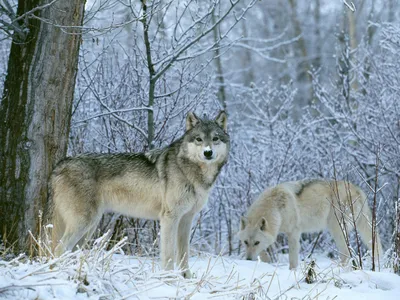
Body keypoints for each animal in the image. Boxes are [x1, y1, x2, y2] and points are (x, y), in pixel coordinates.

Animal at [47, 111, 228, 278]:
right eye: (199, 139)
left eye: (215, 138)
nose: (208, 153)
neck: (192, 172)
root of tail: (59, 165)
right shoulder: (169, 218)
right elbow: (169, 254)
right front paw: (168, 280)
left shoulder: (186, 219)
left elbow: (184, 255)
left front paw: (186, 279)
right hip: (83, 223)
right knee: (59, 249)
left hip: (89, 228)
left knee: (69, 251)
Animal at [238, 179, 384, 268]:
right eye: (245, 242)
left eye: (256, 242)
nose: (248, 259)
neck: (276, 207)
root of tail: (358, 189)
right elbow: (264, 252)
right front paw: (267, 262)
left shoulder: (294, 233)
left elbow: (292, 260)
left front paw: (292, 272)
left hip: (336, 229)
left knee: (346, 253)